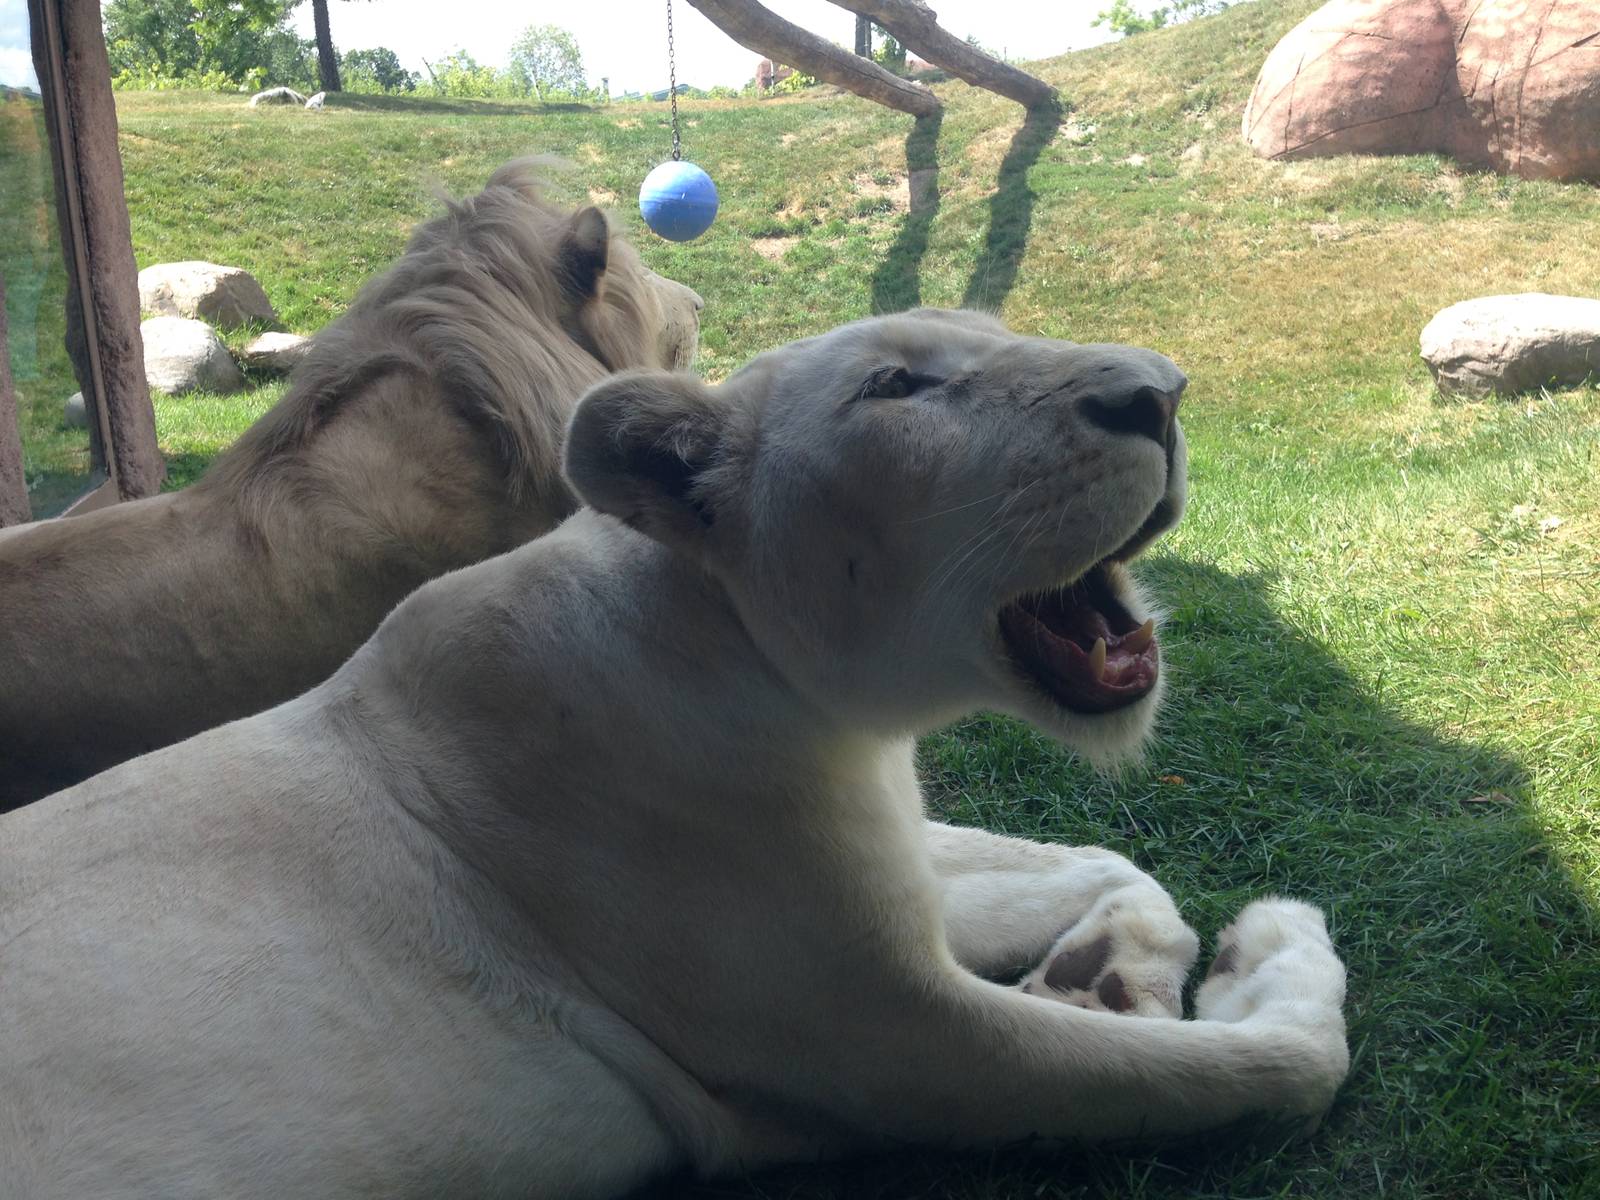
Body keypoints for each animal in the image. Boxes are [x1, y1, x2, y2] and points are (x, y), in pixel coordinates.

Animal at [0, 310, 1349, 1198]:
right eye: (898, 385)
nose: (1160, 393)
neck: (823, 714)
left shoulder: (889, 890)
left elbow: (1108, 864)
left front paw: (1109, 970)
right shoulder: (892, 1040)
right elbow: (1277, 1062)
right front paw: (1265, 954)